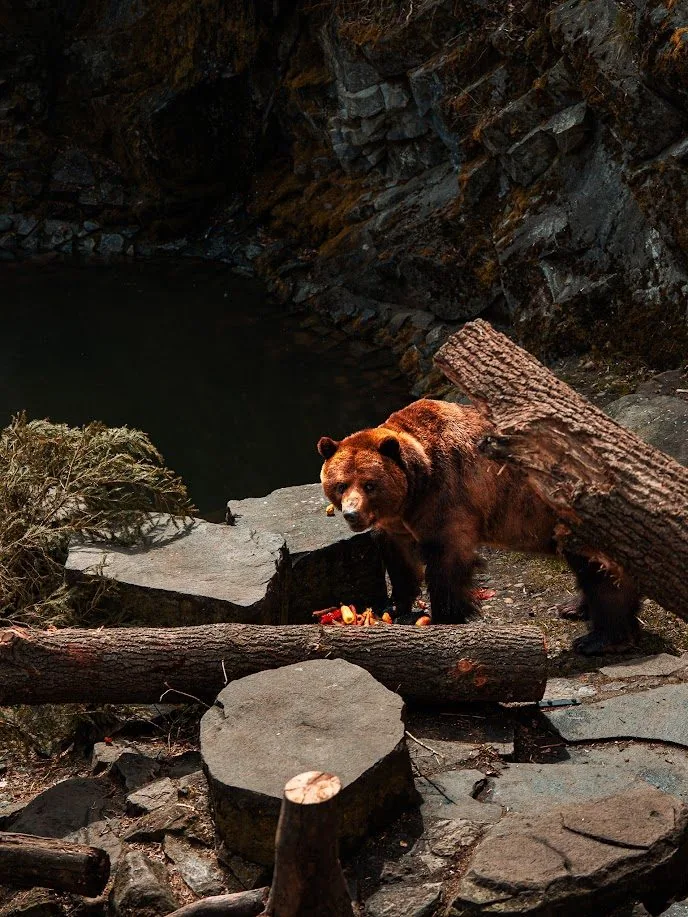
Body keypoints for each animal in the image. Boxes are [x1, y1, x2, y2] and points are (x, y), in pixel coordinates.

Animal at [318, 398, 640, 655]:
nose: (352, 514)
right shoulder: (399, 525)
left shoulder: (447, 498)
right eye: (341, 484)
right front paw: (395, 606)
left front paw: (445, 617)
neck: (416, 487)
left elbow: (446, 563)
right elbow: (401, 563)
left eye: (369, 484)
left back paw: (598, 638)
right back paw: (576, 607)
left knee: (600, 571)